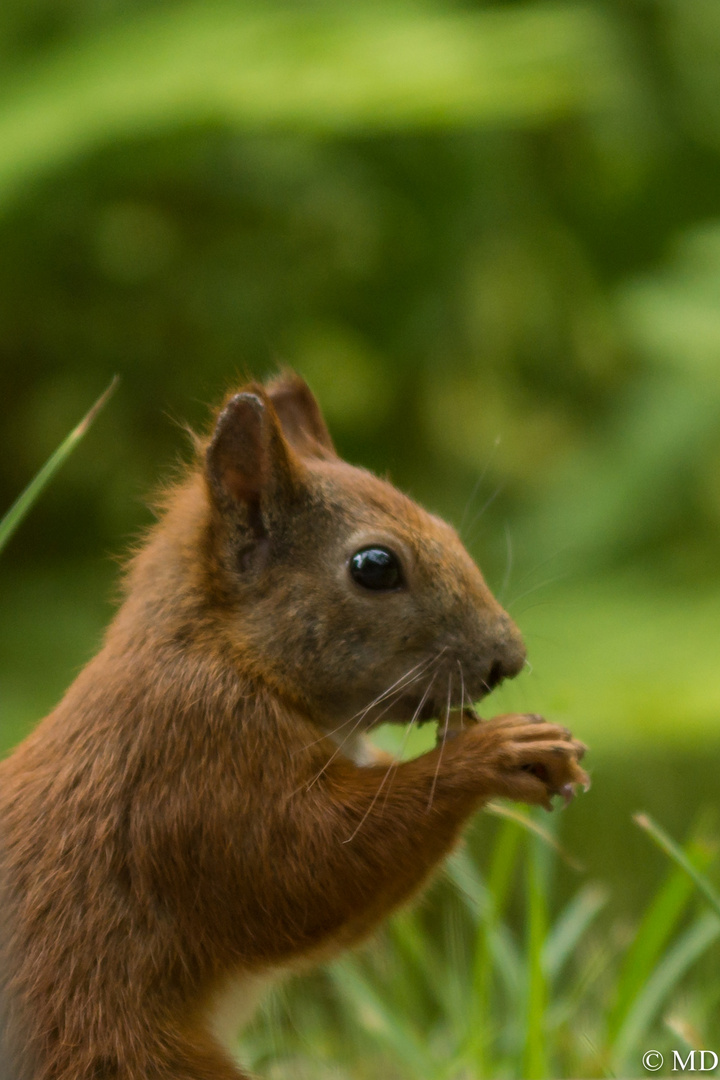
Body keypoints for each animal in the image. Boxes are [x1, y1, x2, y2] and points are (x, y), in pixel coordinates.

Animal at [0, 373, 587, 1080]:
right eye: (374, 566)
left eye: (444, 527)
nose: (509, 659)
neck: (226, 653)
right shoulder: (192, 760)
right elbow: (300, 871)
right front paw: (494, 752)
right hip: (115, 1050)